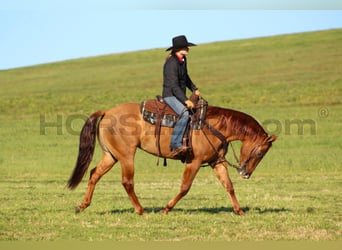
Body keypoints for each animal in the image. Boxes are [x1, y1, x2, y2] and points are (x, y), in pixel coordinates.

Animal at [66, 101, 276, 215]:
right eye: (260, 153)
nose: (245, 173)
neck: (215, 126)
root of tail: (107, 112)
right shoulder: (194, 162)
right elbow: (184, 188)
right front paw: (166, 209)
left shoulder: (217, 162)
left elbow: (229, 186)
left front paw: (239, 211)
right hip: (126, 156)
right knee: (127, 182)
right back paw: (141, 210)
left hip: (111, 156)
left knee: (94, 174)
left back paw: (82, 206)